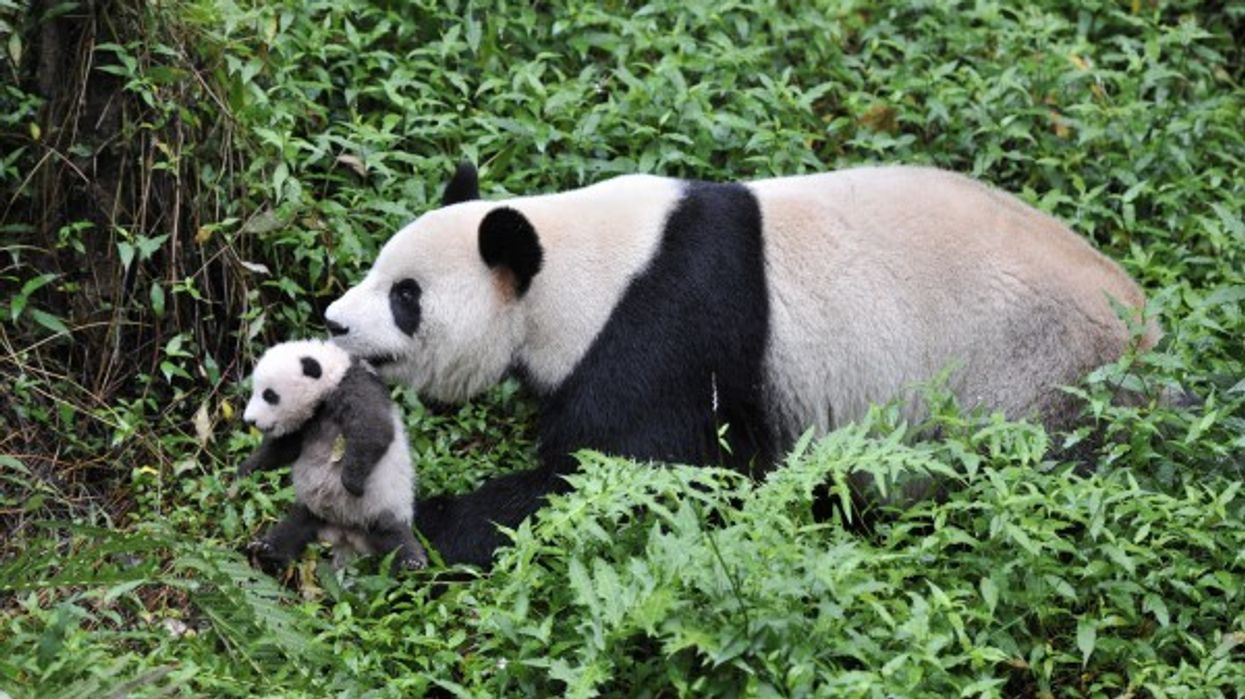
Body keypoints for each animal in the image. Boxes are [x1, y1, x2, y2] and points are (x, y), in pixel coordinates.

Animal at [240, 339, 427, 573]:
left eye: (269, 395)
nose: (250, 420)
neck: (331, 377)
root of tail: (345, 534)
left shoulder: (354, 387)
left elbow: (374, 429)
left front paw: (351, 483)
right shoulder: (308, 421)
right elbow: (284, 448)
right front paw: (247, 469)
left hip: (382, 505)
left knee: (394, 534)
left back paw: (412, 561)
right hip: (312, 510)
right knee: (292, 529)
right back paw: (266, 549)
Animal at [324, 162, 1156, 567]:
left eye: (405, 296)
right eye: (377, 272)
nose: (333, 322)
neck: (578, 264)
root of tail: (1145, 335)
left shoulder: (669, 329)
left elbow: (632, 474)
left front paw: (410, 526)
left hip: (1025, 382)